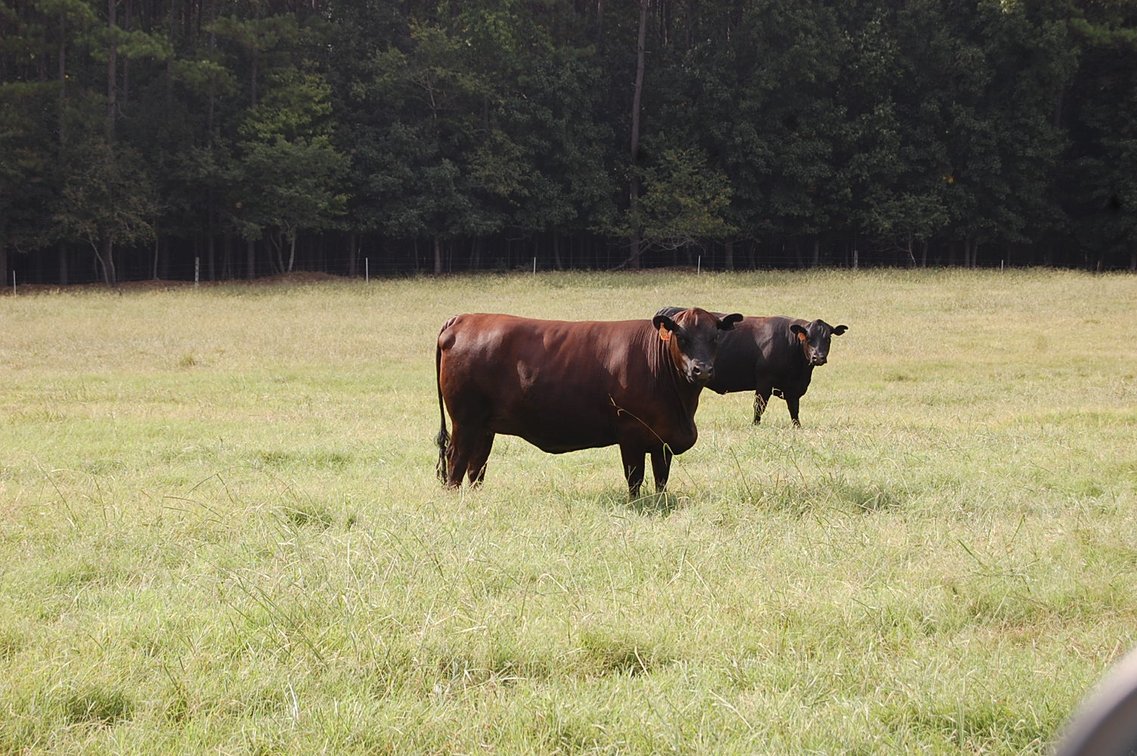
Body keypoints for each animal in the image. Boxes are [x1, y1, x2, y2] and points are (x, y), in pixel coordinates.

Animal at [435, 307, 743, 496]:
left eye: (715, 337)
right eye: (681, 336)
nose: (701, 369)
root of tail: (463, 319)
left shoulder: (662, 440)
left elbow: (661, 479)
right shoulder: (630, 434)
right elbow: (635, 479)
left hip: (484, 426)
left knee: (477, 465)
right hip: (465, 420)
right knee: (456, 460)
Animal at [656, 308, 847, 428]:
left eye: (828, 338)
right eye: (808, 338)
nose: (818, 357)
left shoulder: (792, 388)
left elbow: (794, 409)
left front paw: (797, 426)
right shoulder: (764, 381)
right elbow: (759, 406)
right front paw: (755, 425)